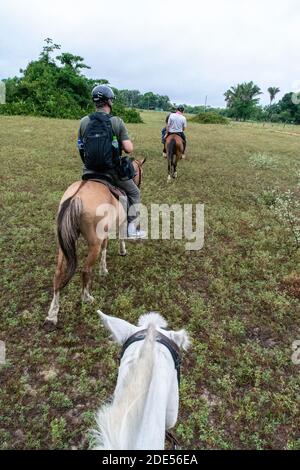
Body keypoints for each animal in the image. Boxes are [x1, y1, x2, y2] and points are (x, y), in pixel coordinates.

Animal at [44, 160, 146, 328]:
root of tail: (76, 197)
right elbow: (119, 238)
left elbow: (105, 248)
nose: (139, 183)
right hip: (93, 244)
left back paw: (52, 314)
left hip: (63, 244)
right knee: (85, 271)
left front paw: (103, 269)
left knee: (58, 274)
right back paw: (87, 298)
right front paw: (122, 252)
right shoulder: (120, 223)